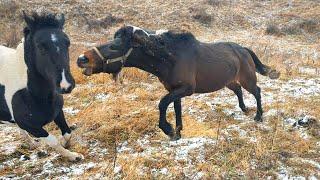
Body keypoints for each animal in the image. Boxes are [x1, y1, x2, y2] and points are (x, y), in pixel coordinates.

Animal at [0, 11, 84, 161]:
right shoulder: (33, 127)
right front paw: (73, 156)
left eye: (67, 43)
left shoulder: (57, 112)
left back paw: (32, 144)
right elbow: (53, 141)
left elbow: (67, 133)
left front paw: (66, 146)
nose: (66, 85)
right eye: (40, 46)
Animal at [77, 25, 280, 141]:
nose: (81, 59)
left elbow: (162, 104)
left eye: (115, 46)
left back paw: (258, 116)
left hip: (247, 79)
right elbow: (176, 109)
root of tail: (243, 49)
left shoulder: (186, 89)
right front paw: (178, 132)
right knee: (238, 90)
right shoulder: (175, 90)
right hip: (228, 81)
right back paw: (244, 109)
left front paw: (168, 130)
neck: (170, 58)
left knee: (257, 91)